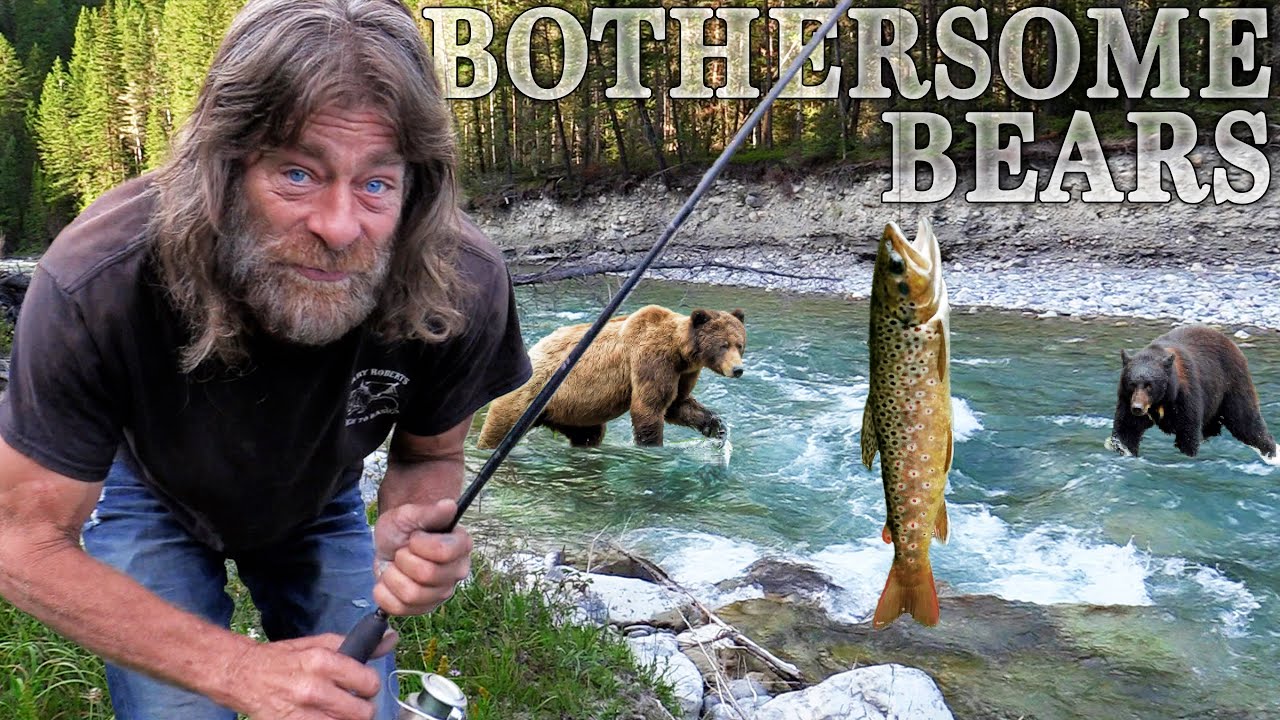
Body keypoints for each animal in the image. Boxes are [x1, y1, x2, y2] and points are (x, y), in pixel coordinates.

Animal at [477, 305, 746, 448]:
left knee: (589, 435)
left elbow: (677, 405)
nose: (738, 370)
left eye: (740, 344)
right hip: (528, 398)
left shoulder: (683, 373)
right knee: (498, 430)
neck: (679, 351)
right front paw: (652, 446)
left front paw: (717, 427)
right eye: (723, 345)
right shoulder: (651, 359)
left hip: (573, 412)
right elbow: (649, 407)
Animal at [1106, 324, 1279, 465]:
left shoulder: (1185, 396)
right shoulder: (1126, 400)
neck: (1161, 401)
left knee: (1246, 422)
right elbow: (1127, 430)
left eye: (1149, 385)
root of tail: (1234, 345)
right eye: (1132, 384)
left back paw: (1271, 453)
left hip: (1232, 386)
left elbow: (1188, 433)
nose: (1137, 408)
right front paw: (1124, 451)